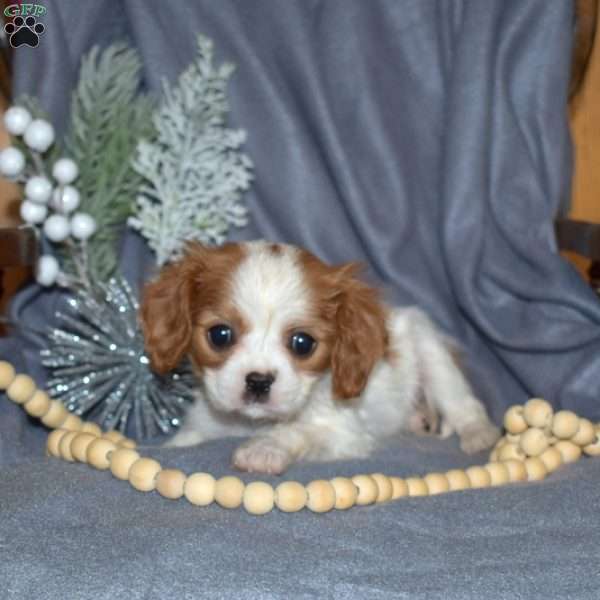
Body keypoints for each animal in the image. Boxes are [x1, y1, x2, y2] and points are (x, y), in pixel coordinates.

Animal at [139, 241, 496, 476]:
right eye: (220, 335)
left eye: (302, 343)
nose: (258, 381)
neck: (249, 423)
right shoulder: (204, 426)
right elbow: (188, 440)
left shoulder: (344, 433)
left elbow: (297, 430)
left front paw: (263, 449)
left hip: (430, 349)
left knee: (462, 403)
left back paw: (478, 433)